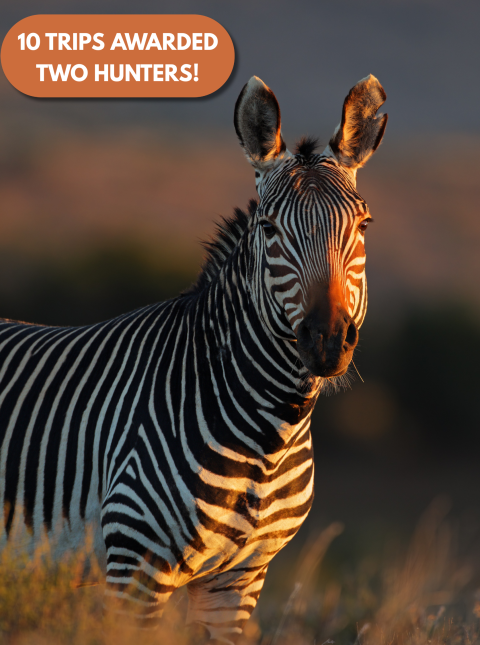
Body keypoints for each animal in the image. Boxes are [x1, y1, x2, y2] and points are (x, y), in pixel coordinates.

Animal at [0, 74, 387, 643]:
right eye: (269, 230)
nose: (328, 340)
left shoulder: (238, 579)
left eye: (362, 227)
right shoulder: (136, 566)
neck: (271, 432)